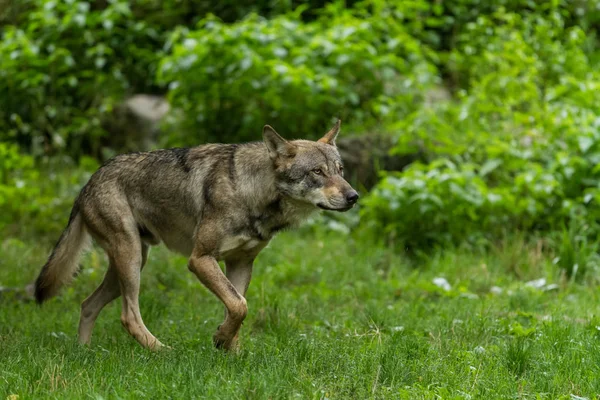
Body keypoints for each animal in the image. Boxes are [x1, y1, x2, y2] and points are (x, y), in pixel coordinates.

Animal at [32, 121, 358, 350]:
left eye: (340, 170)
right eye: (317, 172)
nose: (354, 196)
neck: (251, 191)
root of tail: (88, 182)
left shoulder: (241, 263)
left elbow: (236, 307)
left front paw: (229, 349)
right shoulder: (200, 259)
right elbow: (239, 306)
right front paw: (222, 341)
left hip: (130, 265)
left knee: (87, 305)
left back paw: (83, 353)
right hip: (131, 260)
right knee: (128, 316)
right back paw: (162, 351)